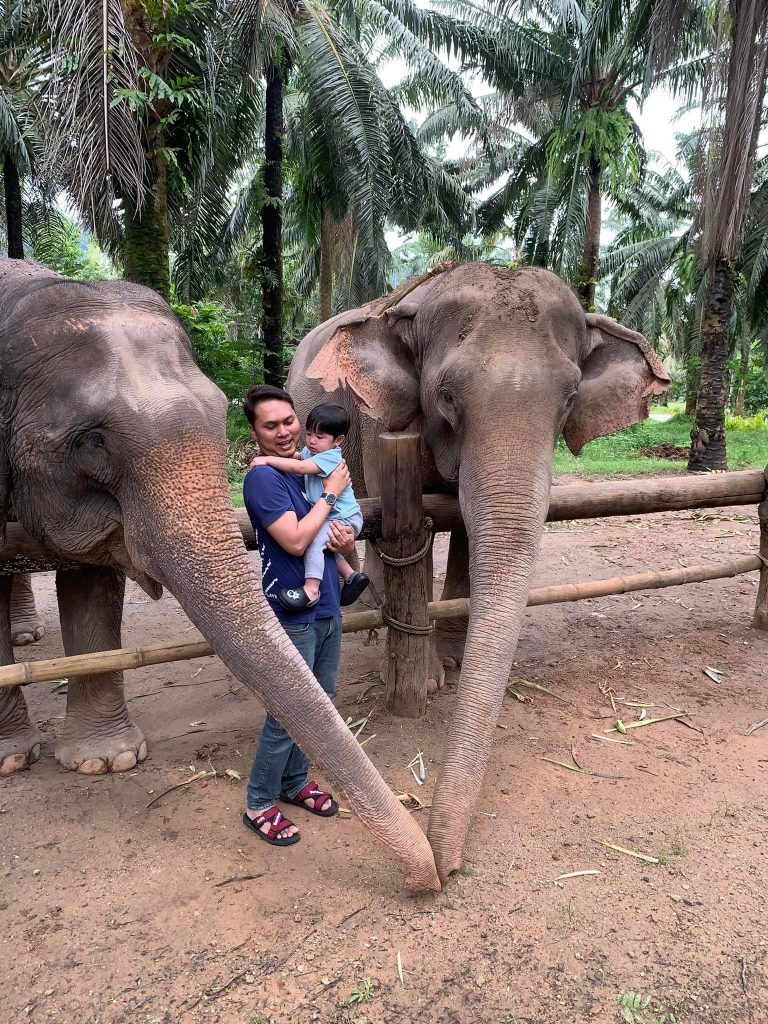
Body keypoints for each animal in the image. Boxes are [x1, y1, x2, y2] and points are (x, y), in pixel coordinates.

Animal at [0, 257, 440, 894]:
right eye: (92, 440)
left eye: (216, 413)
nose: (433, 875)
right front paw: (17, 759)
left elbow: (92, 580)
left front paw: (105, 761)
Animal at [288, 261, 670, 883]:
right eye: (445, 394)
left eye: (570, 398)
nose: (445, 867)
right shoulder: (383, 423)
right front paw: (433, 678)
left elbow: (469, 526)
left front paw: (453, 658)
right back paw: (368, 608)